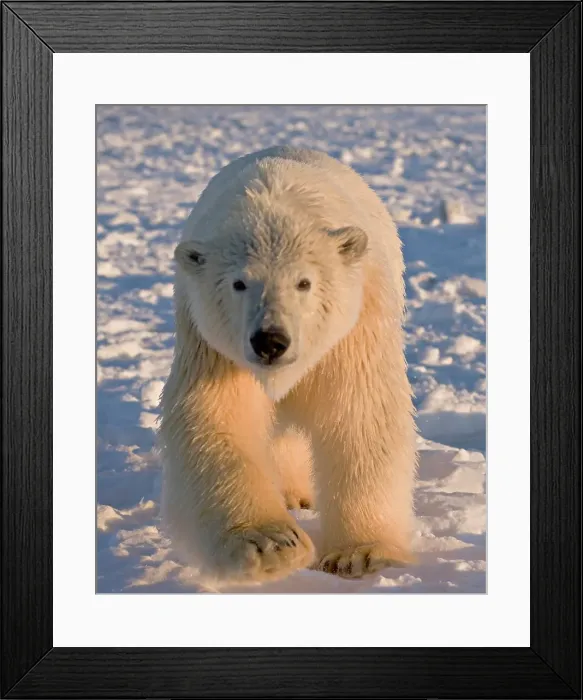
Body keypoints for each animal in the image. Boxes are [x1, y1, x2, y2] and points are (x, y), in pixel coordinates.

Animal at [159, 146, 417, 588]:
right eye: (239, 283)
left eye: (304, 282)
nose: (270, 341)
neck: (275, 201)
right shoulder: (211, 343)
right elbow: (216, 416)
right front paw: (272, 545)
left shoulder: (354, 329)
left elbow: (361, 414)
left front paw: (361, 555)